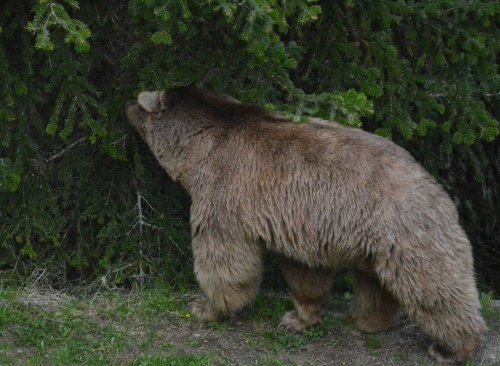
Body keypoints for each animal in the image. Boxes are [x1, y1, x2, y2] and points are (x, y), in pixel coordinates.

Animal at [127, 88, 486, 364]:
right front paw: (297, 318)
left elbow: (224, 256)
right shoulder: (295, 220)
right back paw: (366, 320)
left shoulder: (223, 188)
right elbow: (303, 270)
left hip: (408, 233)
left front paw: (207, 307)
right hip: (376, 242)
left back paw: (453, 347)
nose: (126, 105)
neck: (199, 146)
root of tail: (439, 190)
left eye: (140, 100)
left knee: (435, 289)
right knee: (374, 282)